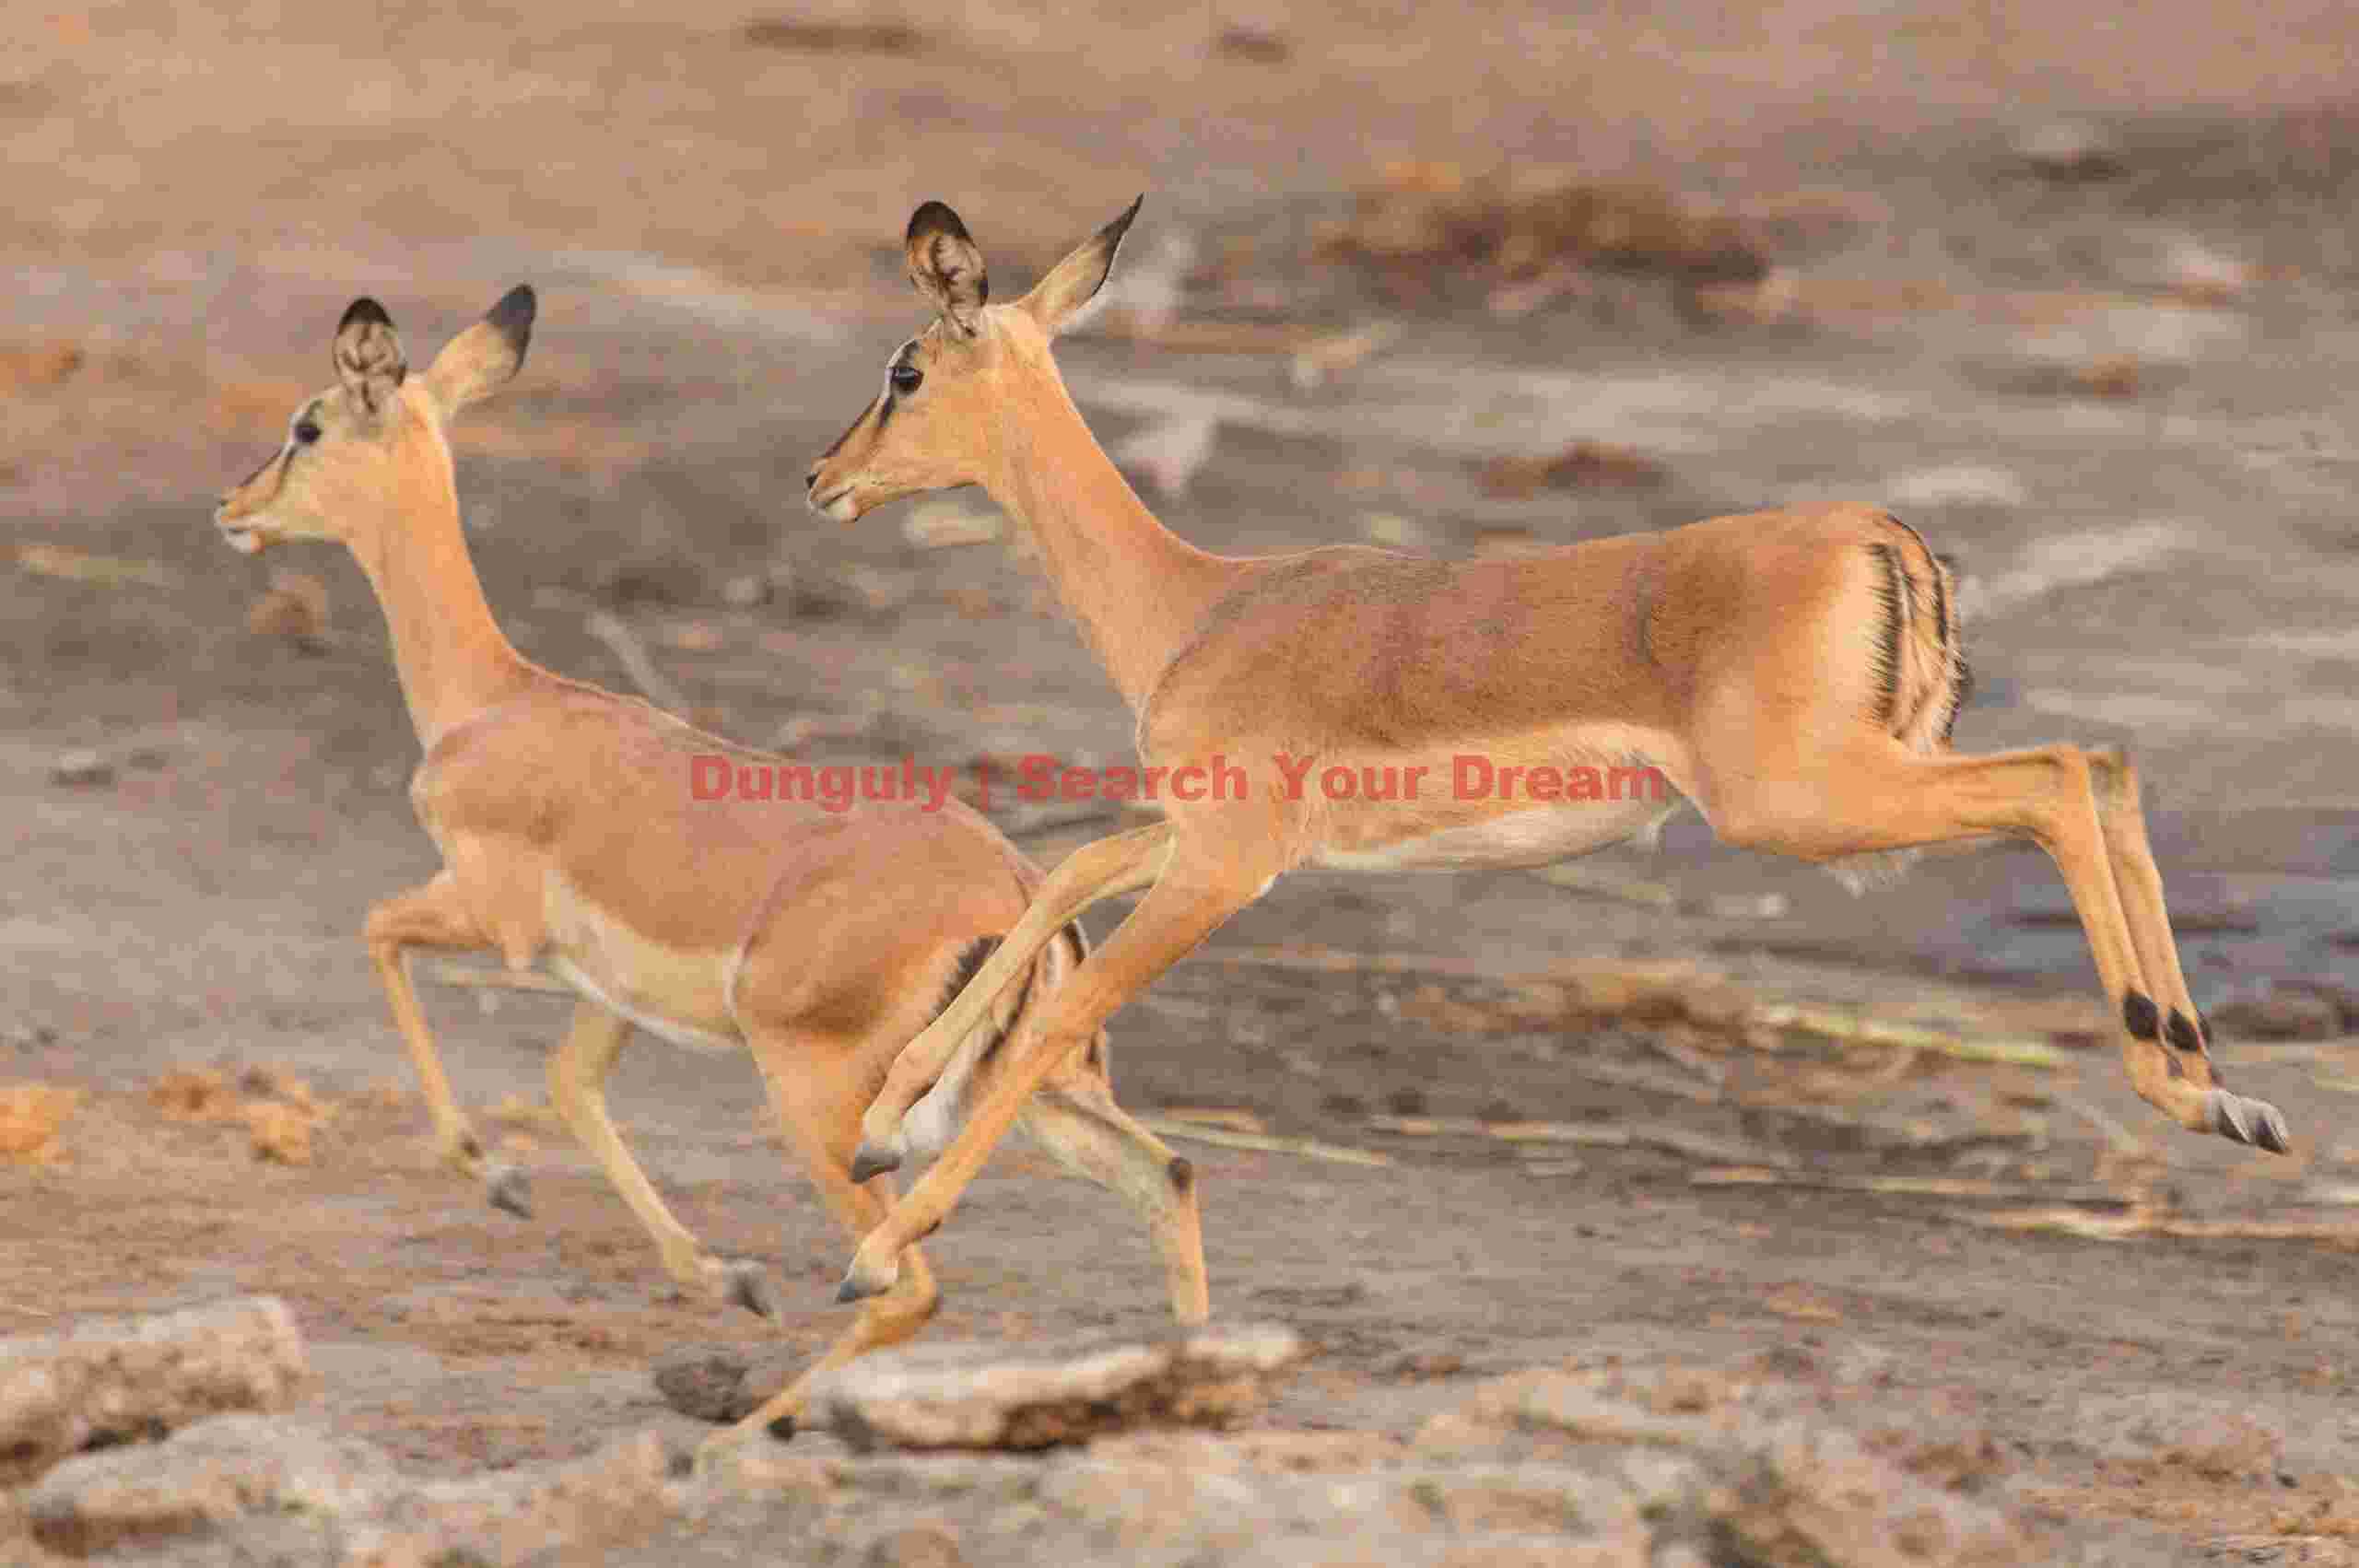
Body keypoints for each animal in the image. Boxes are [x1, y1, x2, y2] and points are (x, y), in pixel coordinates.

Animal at [212, 286, 1207, 1445]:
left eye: (308, 425)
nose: (234, 504)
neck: (493, 702)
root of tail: (1011, 888)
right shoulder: (609, 993)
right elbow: (569, 1086)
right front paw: (726, 1276)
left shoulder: (489, 922)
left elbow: (377, 933)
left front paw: (497, 1177)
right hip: (1038, 1090)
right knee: (1167, 1174)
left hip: (821, 1104)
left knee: (906, 1284)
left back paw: (745, 1430)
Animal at [804, 197, 2293, 1308]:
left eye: (904, 370)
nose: (824, 480)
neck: (1195, 604)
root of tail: (1882, 539)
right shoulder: (1200, 832)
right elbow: (1057, 875)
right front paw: (885, 1123)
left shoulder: (1224, 866)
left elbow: (1067, 1010)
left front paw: (882, 1244)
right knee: (2106, 760)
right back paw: (2225, 1094)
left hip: (1805, 804)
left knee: (2057, 777)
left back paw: (2186, 1086)